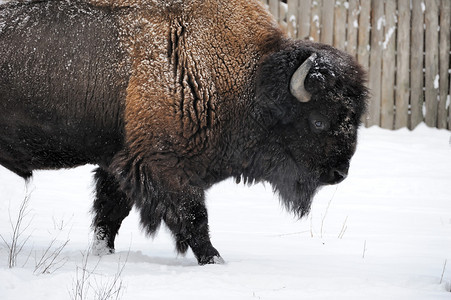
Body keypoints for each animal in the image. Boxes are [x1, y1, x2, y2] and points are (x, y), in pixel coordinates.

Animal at [0, 0, 368, 264]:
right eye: (318, 121)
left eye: (354, 117)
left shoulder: (118, 162)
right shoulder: (164, 165)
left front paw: (104, 255)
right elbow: (193, 217)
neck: (250, 80)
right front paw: (214, 259)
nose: (340, 173)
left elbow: (109, 214)